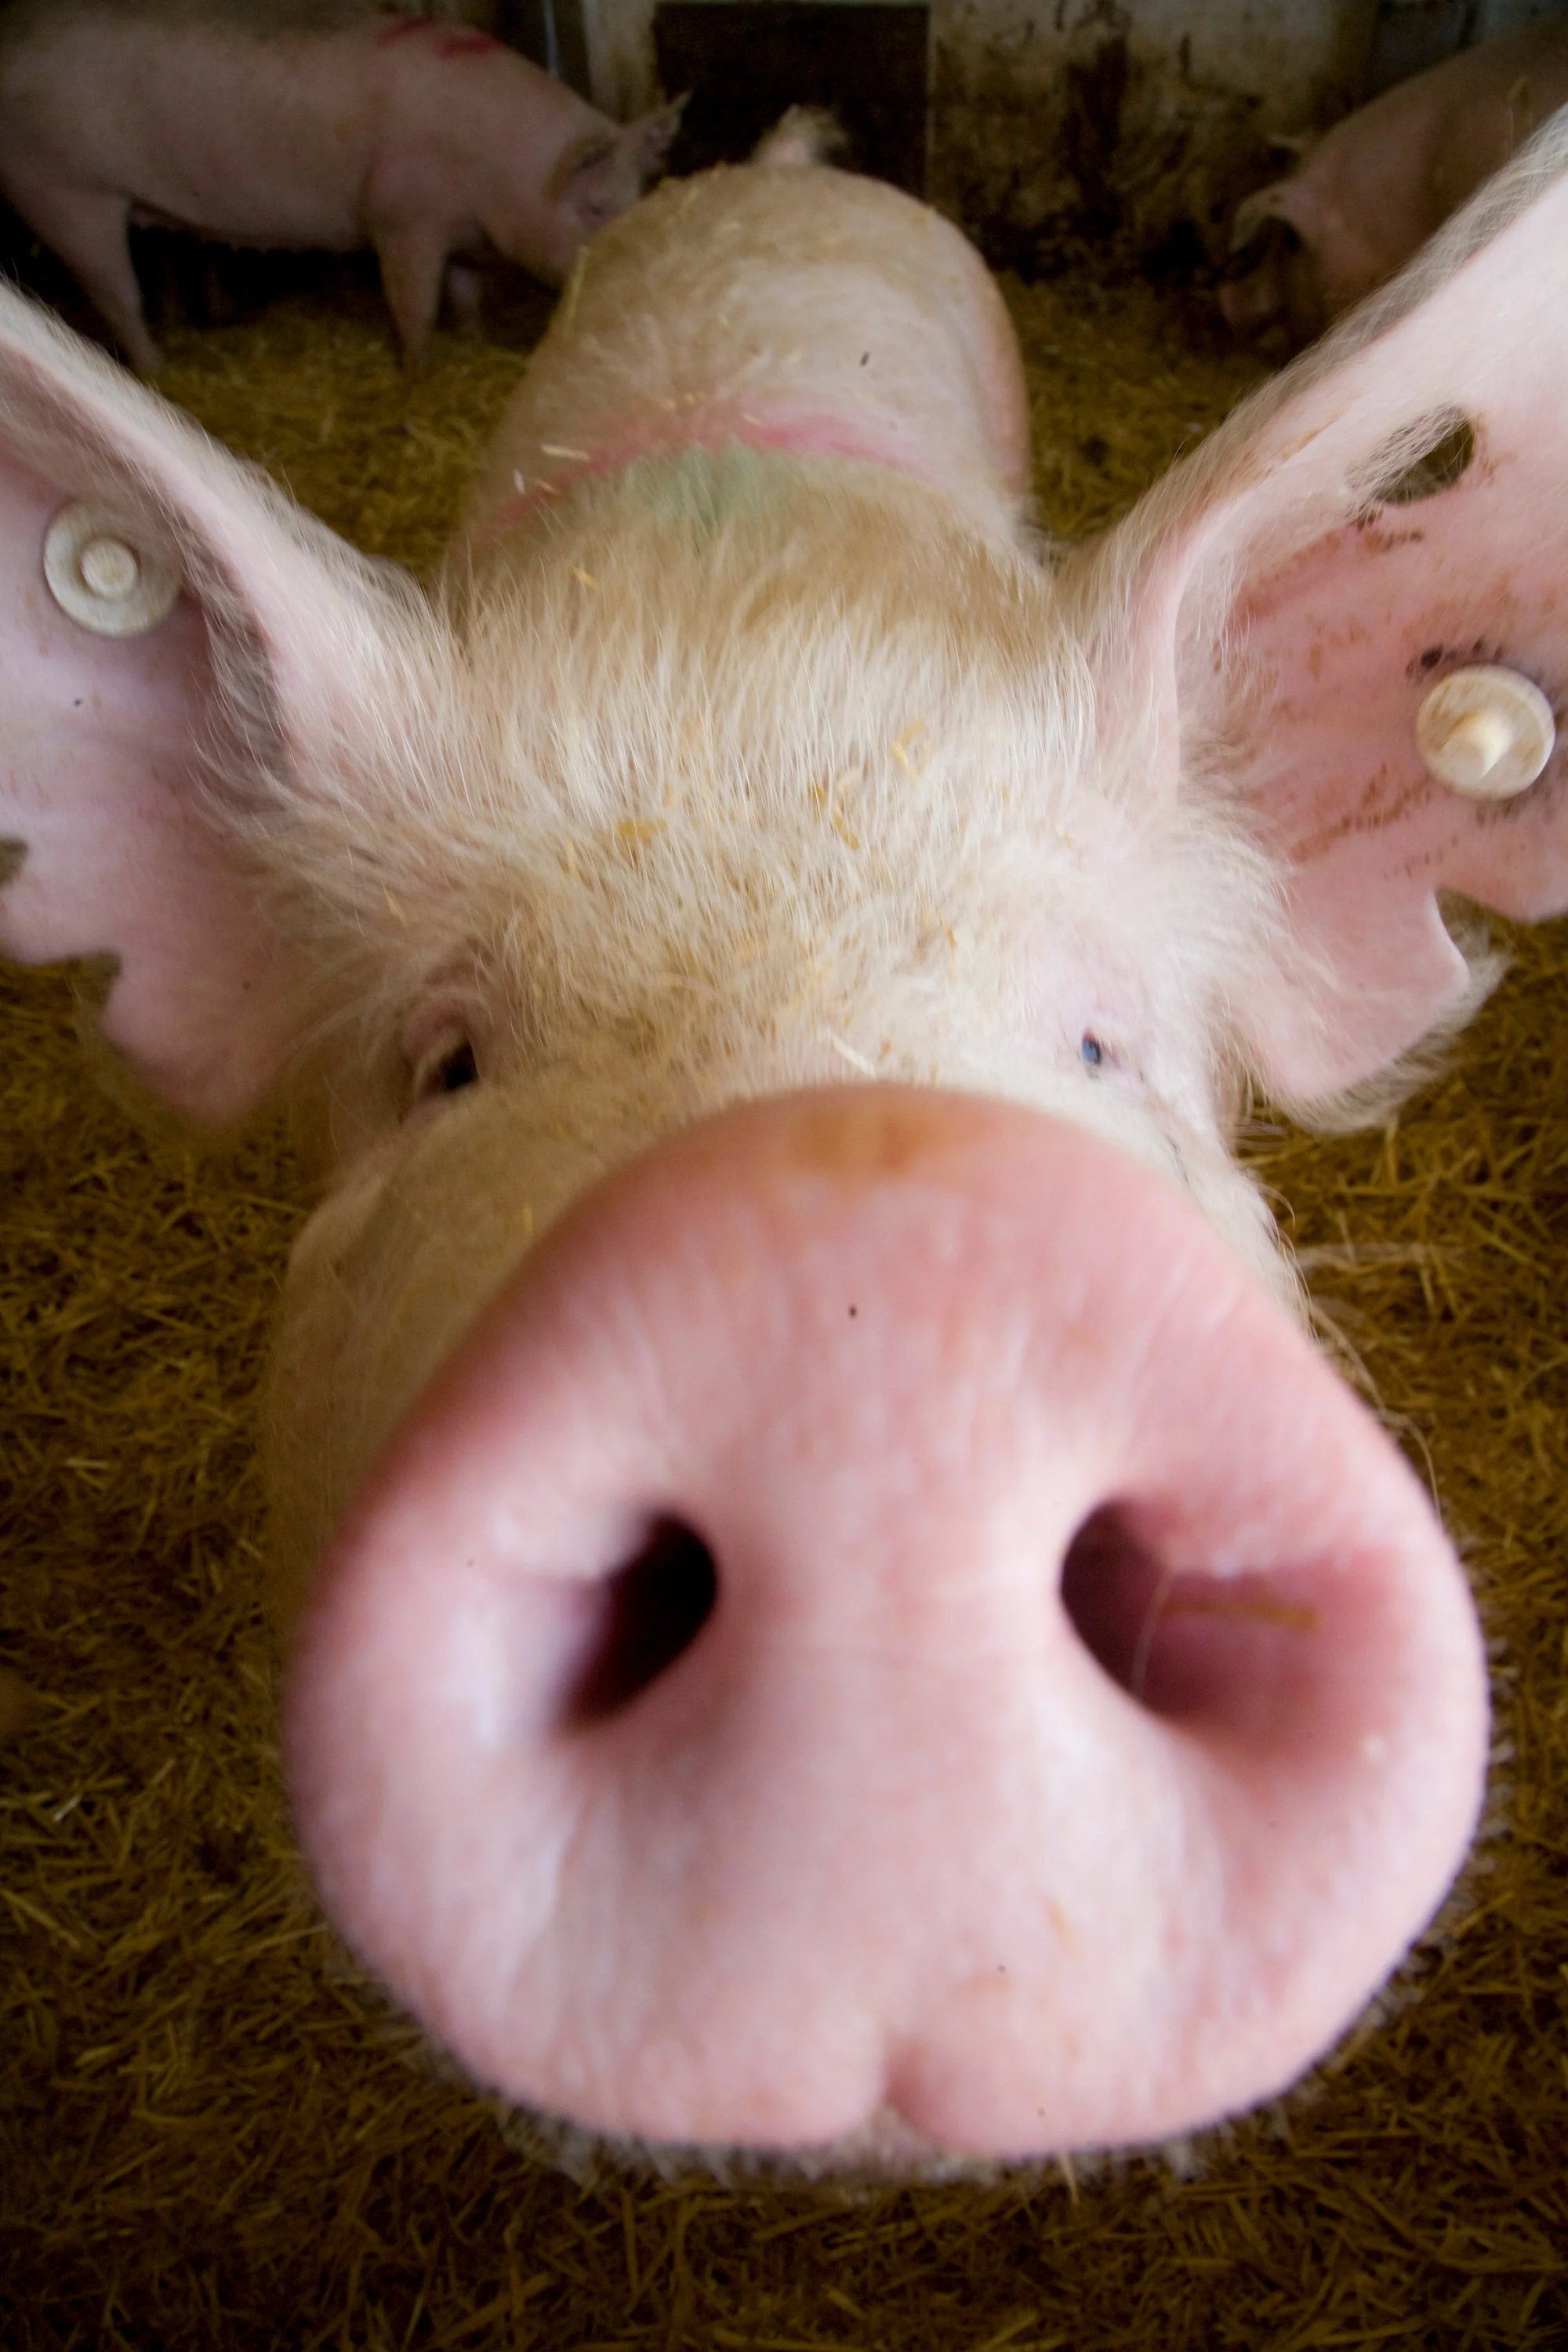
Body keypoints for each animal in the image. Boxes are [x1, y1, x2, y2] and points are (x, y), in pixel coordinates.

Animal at [0, 9, 682, 374]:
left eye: (641, 194)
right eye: (594, 208)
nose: (645, 268)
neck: (499, 171)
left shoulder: (460, 230)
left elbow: (466, 294)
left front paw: (471, 341)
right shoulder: (401, 219)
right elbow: (415, 304)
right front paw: (420, 371)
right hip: (62, 189)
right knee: (115, 295)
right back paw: (157, 370)